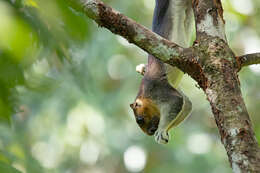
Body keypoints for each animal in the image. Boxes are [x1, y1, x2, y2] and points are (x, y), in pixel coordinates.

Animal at [129, 0, 193, 143]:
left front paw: (161, 131)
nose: (150, 132)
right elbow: (187, 104)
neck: (144, 94)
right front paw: (165, 132)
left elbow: (177, 101)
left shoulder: (157, 89)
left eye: (139, 120)